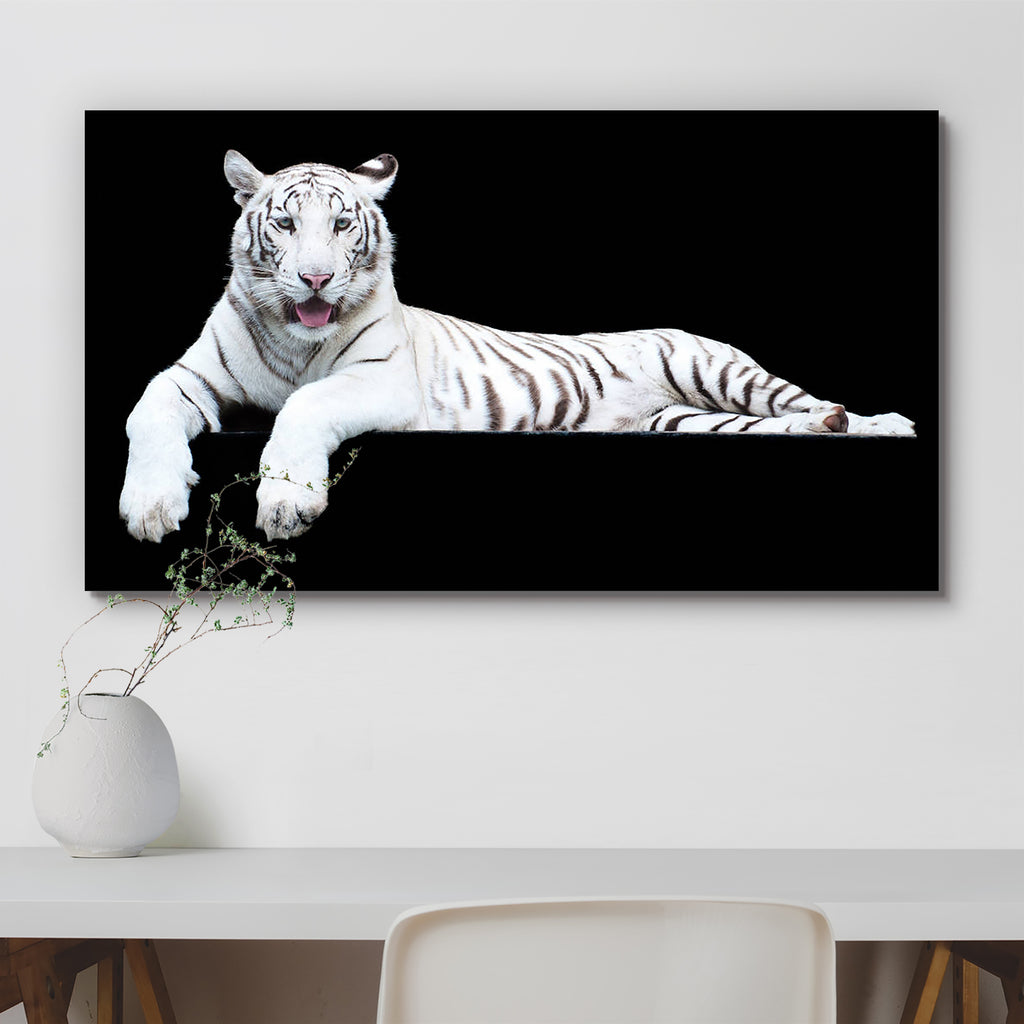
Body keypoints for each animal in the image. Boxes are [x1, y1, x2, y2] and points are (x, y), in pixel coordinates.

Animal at [119, 149, 916, 544]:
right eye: (285, 225)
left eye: (343, 225)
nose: (315, 278)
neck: (294, 336)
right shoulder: (191, 377)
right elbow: (145, 412)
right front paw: (152, 507)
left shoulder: (383, 381)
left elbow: (305, 405)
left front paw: (287, 501)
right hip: (688, 422)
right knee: (780, 424)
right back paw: (829, 429)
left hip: (713, 367)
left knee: (804, 400)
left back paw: (881, 423)